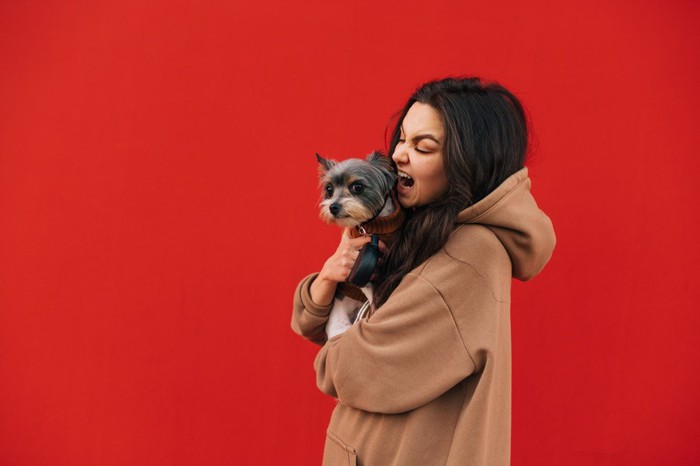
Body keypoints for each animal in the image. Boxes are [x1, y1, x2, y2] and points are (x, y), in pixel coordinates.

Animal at [314, 152, 402, 338]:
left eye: (358, 187)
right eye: (329, 189)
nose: (333, 207)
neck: (374, 224)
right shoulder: (357, 265)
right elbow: (369, 289)